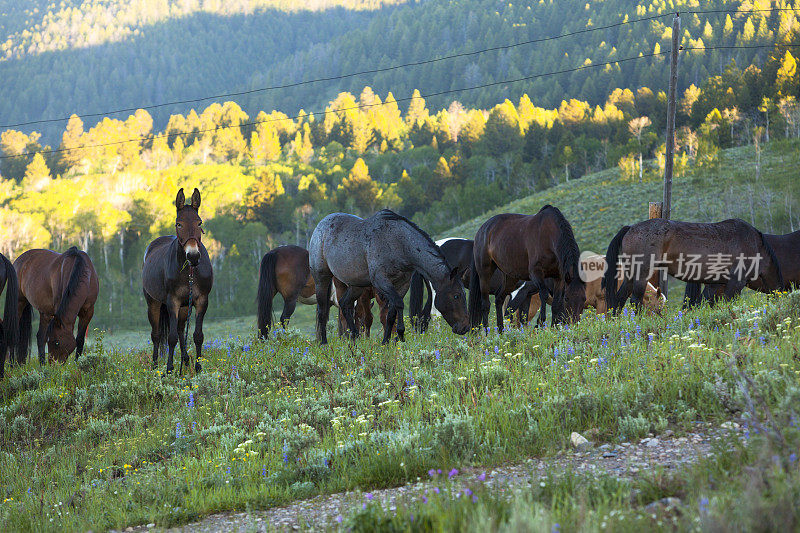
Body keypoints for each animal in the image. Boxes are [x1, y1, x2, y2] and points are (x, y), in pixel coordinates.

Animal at [142, 189, 212, 372]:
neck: (189, 272)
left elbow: (197, 335)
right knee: (157, 334)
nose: (193, 256)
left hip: (184, 306)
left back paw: (185, 360)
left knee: (181, 330)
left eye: (199, 223)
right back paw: (155, 365)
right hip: (153, 303)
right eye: (178, 224)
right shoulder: (172, 302)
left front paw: (198, 367)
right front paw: (168, 369)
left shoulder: (201, 301)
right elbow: (171, 337)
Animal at [306, 210, 468, 342]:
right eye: (456, 295)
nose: (465, 327)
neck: (399, 243)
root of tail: (321, 224)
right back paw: (324, 343)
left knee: (345, 305)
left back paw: (355, 337)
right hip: (322, 279)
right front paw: (400, 335)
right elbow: (399, 305)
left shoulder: (402, 284)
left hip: (356, 286)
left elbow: (391, 313)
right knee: (322, 311)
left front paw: (386, 341)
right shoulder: (382, 282)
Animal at [608, 216, 780, 312]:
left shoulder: (716, 284)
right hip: (642, 274)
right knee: (635, 301)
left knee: (620, 299)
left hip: (631, 275)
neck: (755, 245)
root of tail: (630, 228)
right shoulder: (736, 283)